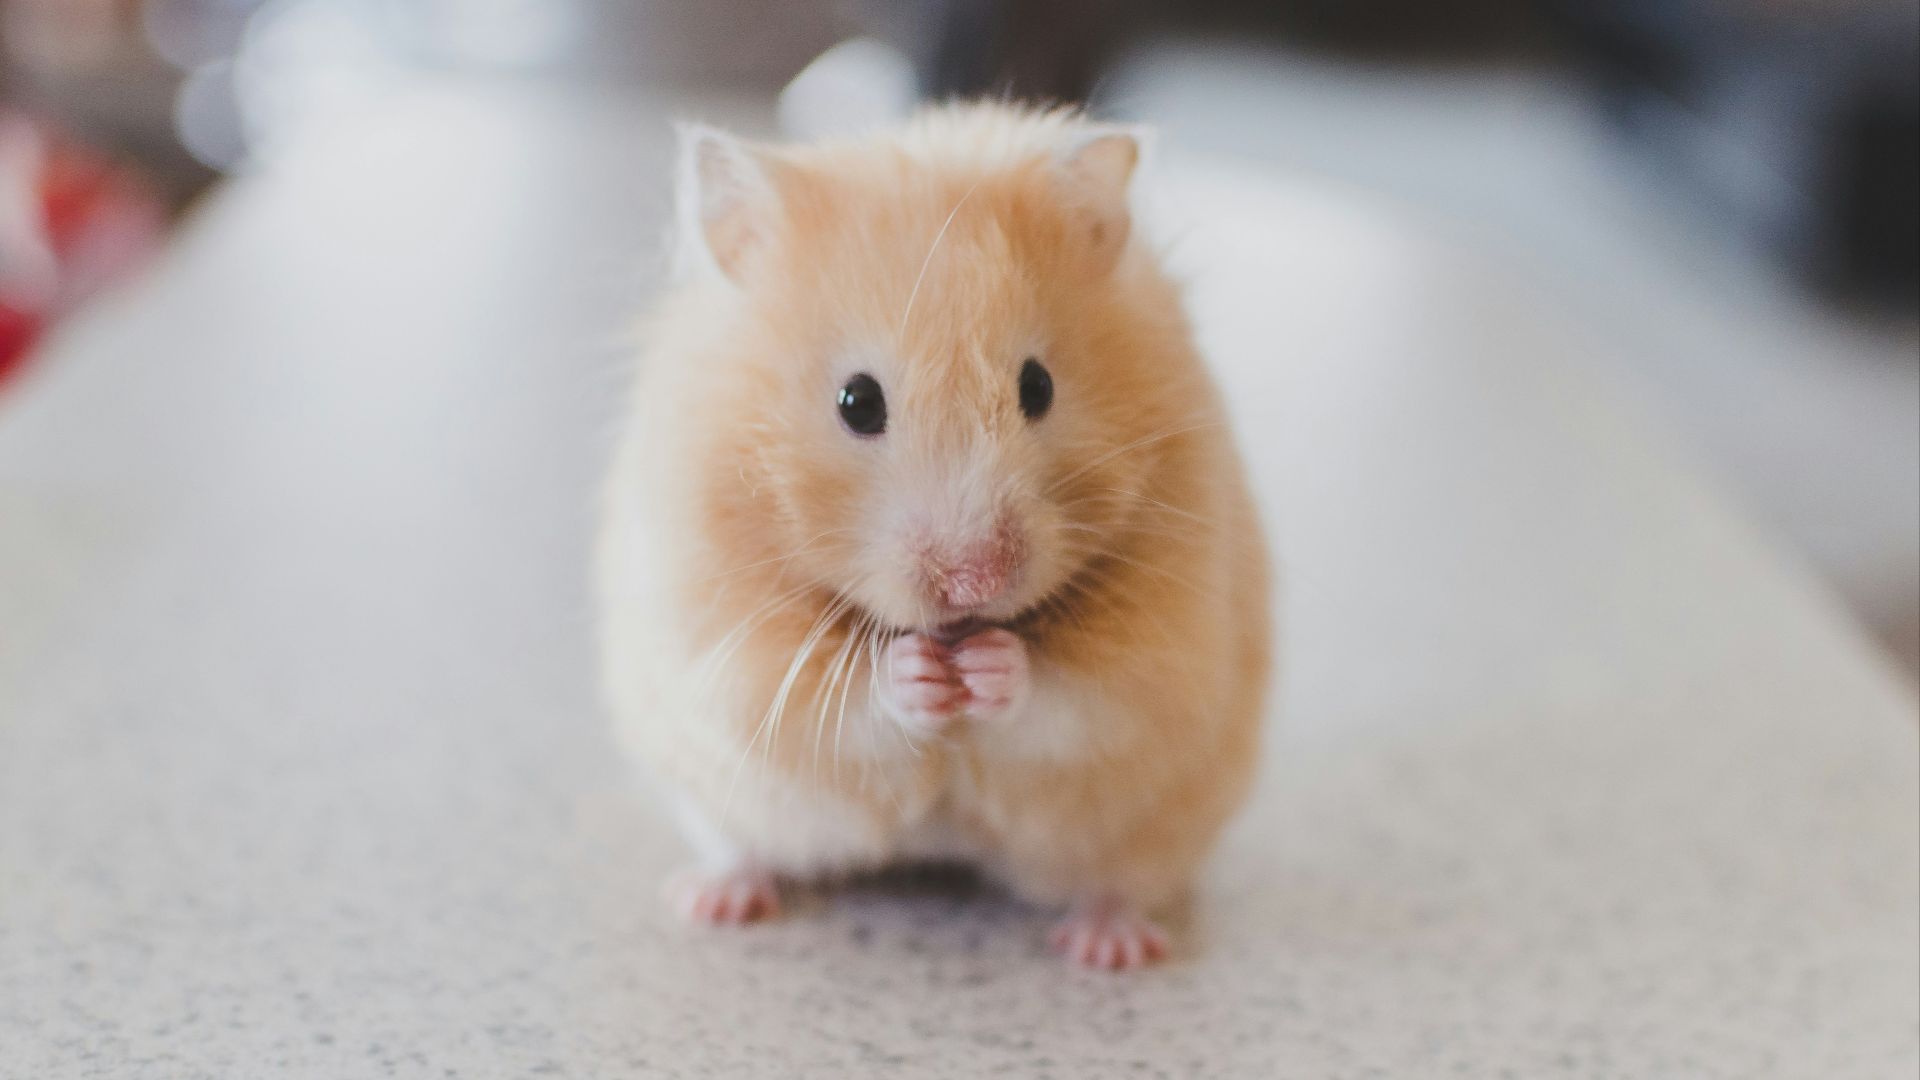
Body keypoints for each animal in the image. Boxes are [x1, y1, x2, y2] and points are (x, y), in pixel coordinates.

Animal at [596, 103, 1272, 969]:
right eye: (857, 402)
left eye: (1038, 386)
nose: (975, 583)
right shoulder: (725, 643)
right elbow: (837, 700)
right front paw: (919, 673)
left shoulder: (1166, 651)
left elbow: (1076, 698)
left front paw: (989, 668)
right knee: (742, 847)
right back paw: (712, 900)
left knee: (1119, 881)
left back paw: (1109, 947)